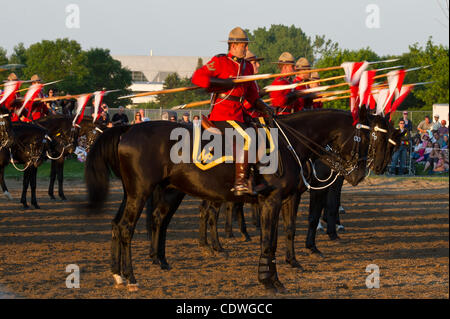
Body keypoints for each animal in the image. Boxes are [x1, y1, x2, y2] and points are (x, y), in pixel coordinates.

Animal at [85, 109, 372, 294]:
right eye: (364, 139)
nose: (359, 174)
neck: (288, 143)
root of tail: (127, 130)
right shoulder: (271, 201)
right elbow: (269, 241)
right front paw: (269, 281)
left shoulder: (287, 199)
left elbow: (285, 233)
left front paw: (286, 268)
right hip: (142, 192)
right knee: (127, 228)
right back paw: (131, 277)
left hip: (142, 193)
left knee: (122, 224)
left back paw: (121, 273)